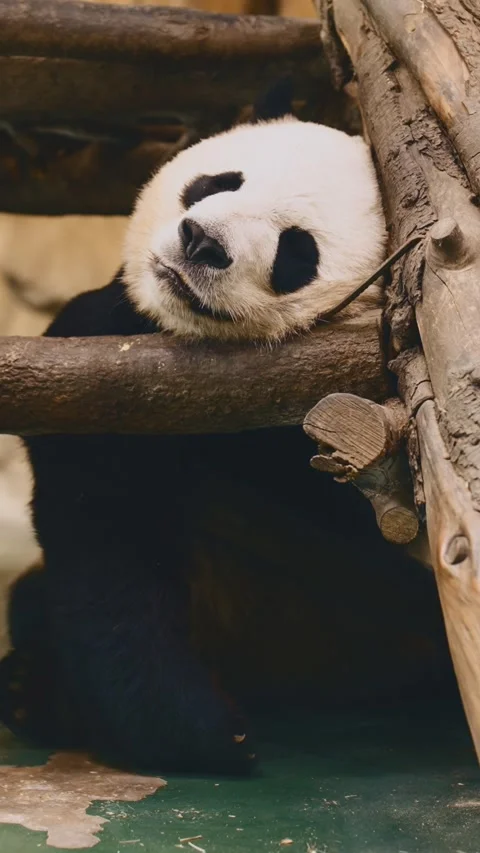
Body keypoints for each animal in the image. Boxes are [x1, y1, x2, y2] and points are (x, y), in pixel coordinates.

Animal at [0, 85, 387, 774]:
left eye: (298, 252)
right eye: (220, 182)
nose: (201, 241)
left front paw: (204, 737)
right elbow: (107, 528)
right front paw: (201, 731)